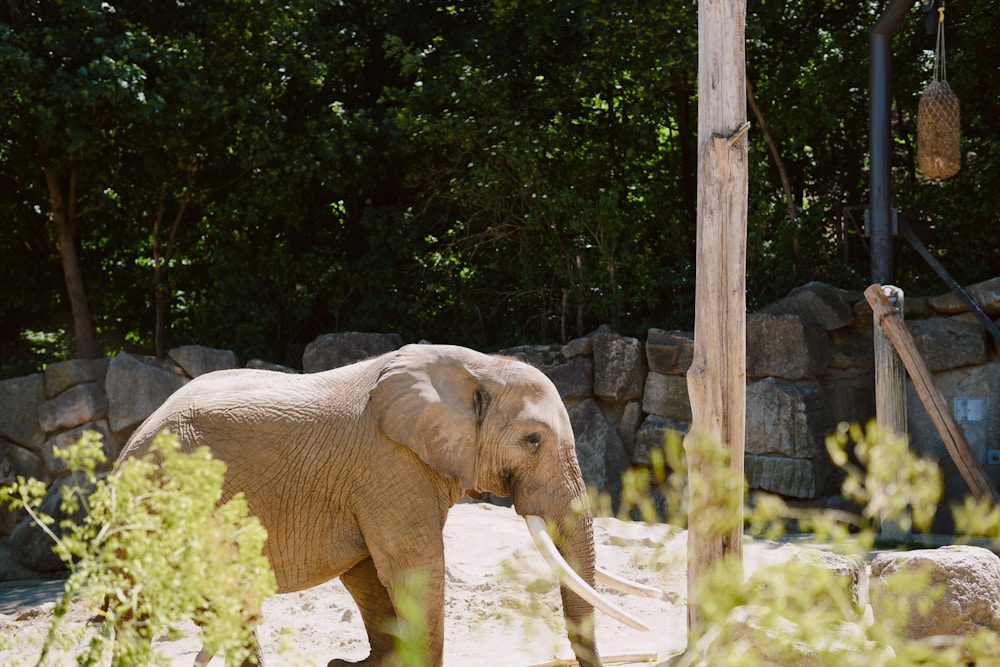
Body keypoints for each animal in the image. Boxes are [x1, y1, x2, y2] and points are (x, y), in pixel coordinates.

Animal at [119, 344, 648, 667]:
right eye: (533, 440)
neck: (476, 367)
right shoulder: (389, 465)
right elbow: (413, 569)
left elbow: (368, 573)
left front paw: (357, 664)